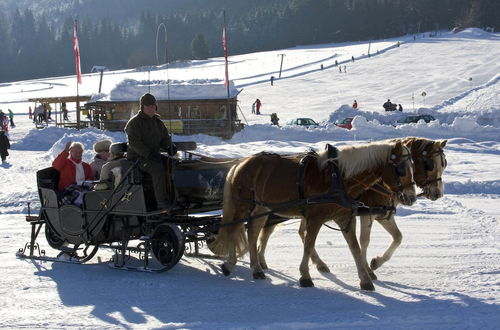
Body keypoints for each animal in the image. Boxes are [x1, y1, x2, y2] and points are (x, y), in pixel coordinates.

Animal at [209, 141, 416, 290]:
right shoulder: (315, 219)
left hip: (261, 207)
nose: (411, 197)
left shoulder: (345, 219)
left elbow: (355, 248)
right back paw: (230, 264)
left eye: (413, 166)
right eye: (401, 169)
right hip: (242, 206)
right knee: (234, 230)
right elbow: (308, 244)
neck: (339, 178)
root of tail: (240, 163)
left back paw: (257, 269)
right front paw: (305, 276)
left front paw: (365, 280)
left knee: (253, 232)